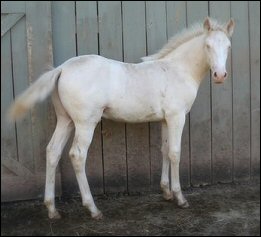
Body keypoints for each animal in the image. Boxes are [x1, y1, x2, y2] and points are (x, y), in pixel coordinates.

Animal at [8, 17, 234, 219]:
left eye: (228, 47)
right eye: (207, 45)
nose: (220, 76)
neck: (177, 70)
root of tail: (62, 68)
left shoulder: (164, 119)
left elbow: (164, 150)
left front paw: (166, 192)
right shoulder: (176, 117)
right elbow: (175, 153)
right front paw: (180, 198)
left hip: (66, 121)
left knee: (52, 152)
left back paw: (52, 209)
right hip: (85, 123)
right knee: (77, 155)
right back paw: (93, 209)